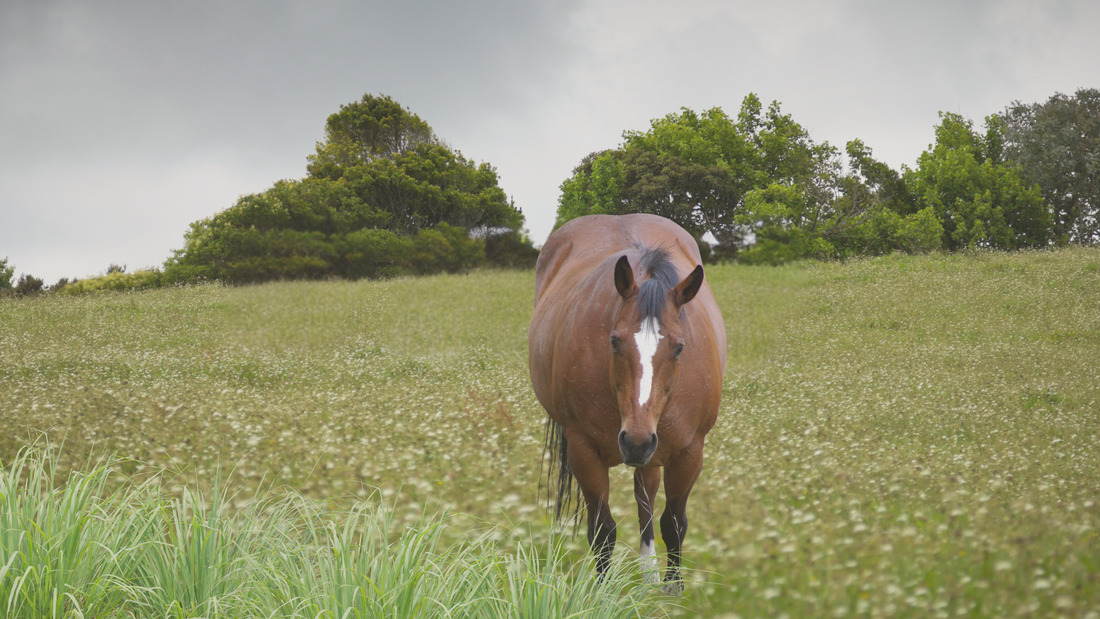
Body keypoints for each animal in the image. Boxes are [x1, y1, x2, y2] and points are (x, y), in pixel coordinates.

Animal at [528, 213, 727, 592]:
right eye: (614, 341)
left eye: (680, 347)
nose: (636, 441)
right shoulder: (583, 451)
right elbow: (602, 530)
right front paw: (603, 593)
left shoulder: (690, 450)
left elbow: (674, 522)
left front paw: (672, 590)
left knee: (645, 497)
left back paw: (648, 573)